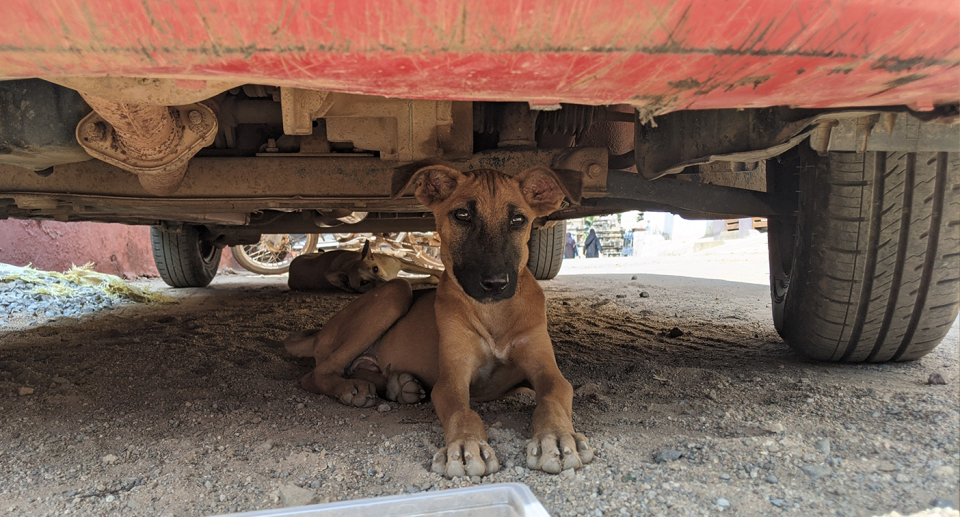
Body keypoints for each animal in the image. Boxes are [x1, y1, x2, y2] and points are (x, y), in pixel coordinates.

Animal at [288, 240, 442, 292]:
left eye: (375, 268)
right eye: (363, 283)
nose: (386, 284)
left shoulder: (399, 262)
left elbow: (425, 269)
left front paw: (440, 273)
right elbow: (417, 278)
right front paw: (434, 279)